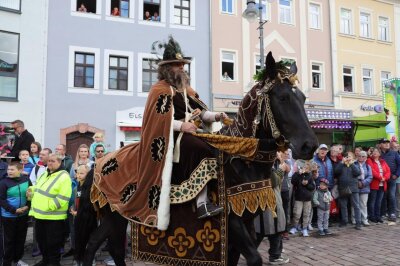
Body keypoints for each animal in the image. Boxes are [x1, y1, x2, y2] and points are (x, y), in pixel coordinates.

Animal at [85, 52, 318, 266]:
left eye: (303, 98)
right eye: (283, 97)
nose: (310, 146)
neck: (242, 161)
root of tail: (99, 163)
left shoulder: (246, 219)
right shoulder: (234, 223)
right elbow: (254, 258)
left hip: (116, 217)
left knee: (110, 246)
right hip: (115, 214)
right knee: (95, 245)